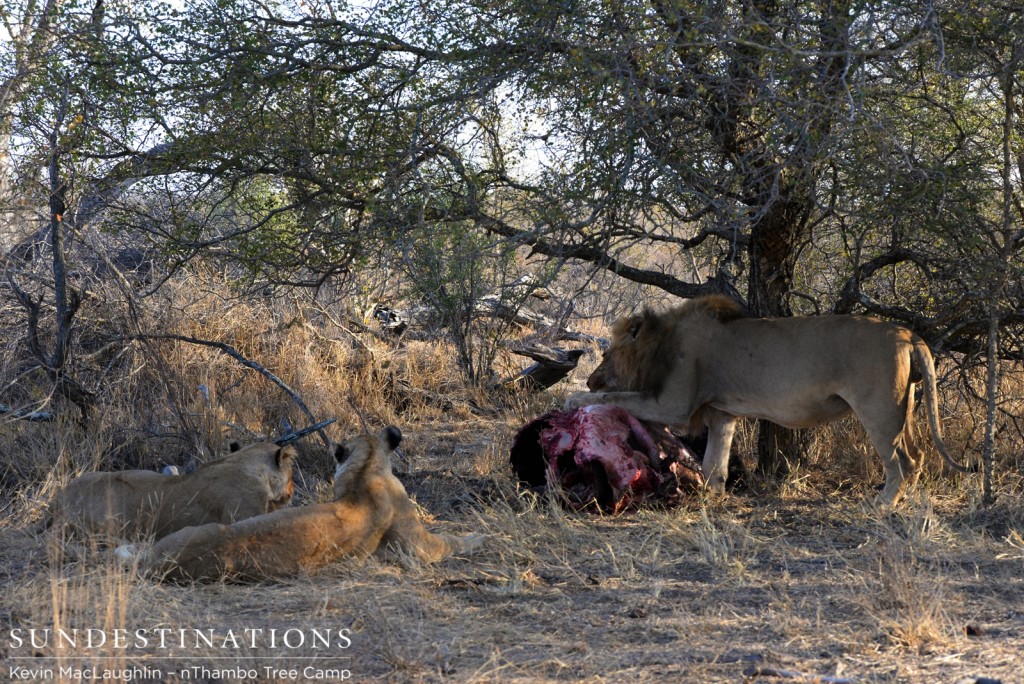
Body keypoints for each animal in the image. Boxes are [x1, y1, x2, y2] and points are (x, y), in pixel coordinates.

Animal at [565, 294, 970, 507]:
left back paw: (882, 504)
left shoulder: (674, 403)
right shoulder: (722, 413)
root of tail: (908, 333)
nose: (591, 377)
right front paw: (712, 498)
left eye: (606, 355)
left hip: (879, 407)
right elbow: (714, 463)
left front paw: (575, 398)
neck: (663, 341)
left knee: (904, 459)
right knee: (918, 454)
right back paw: (905, 500)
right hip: (904, 404)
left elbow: (621, 396)